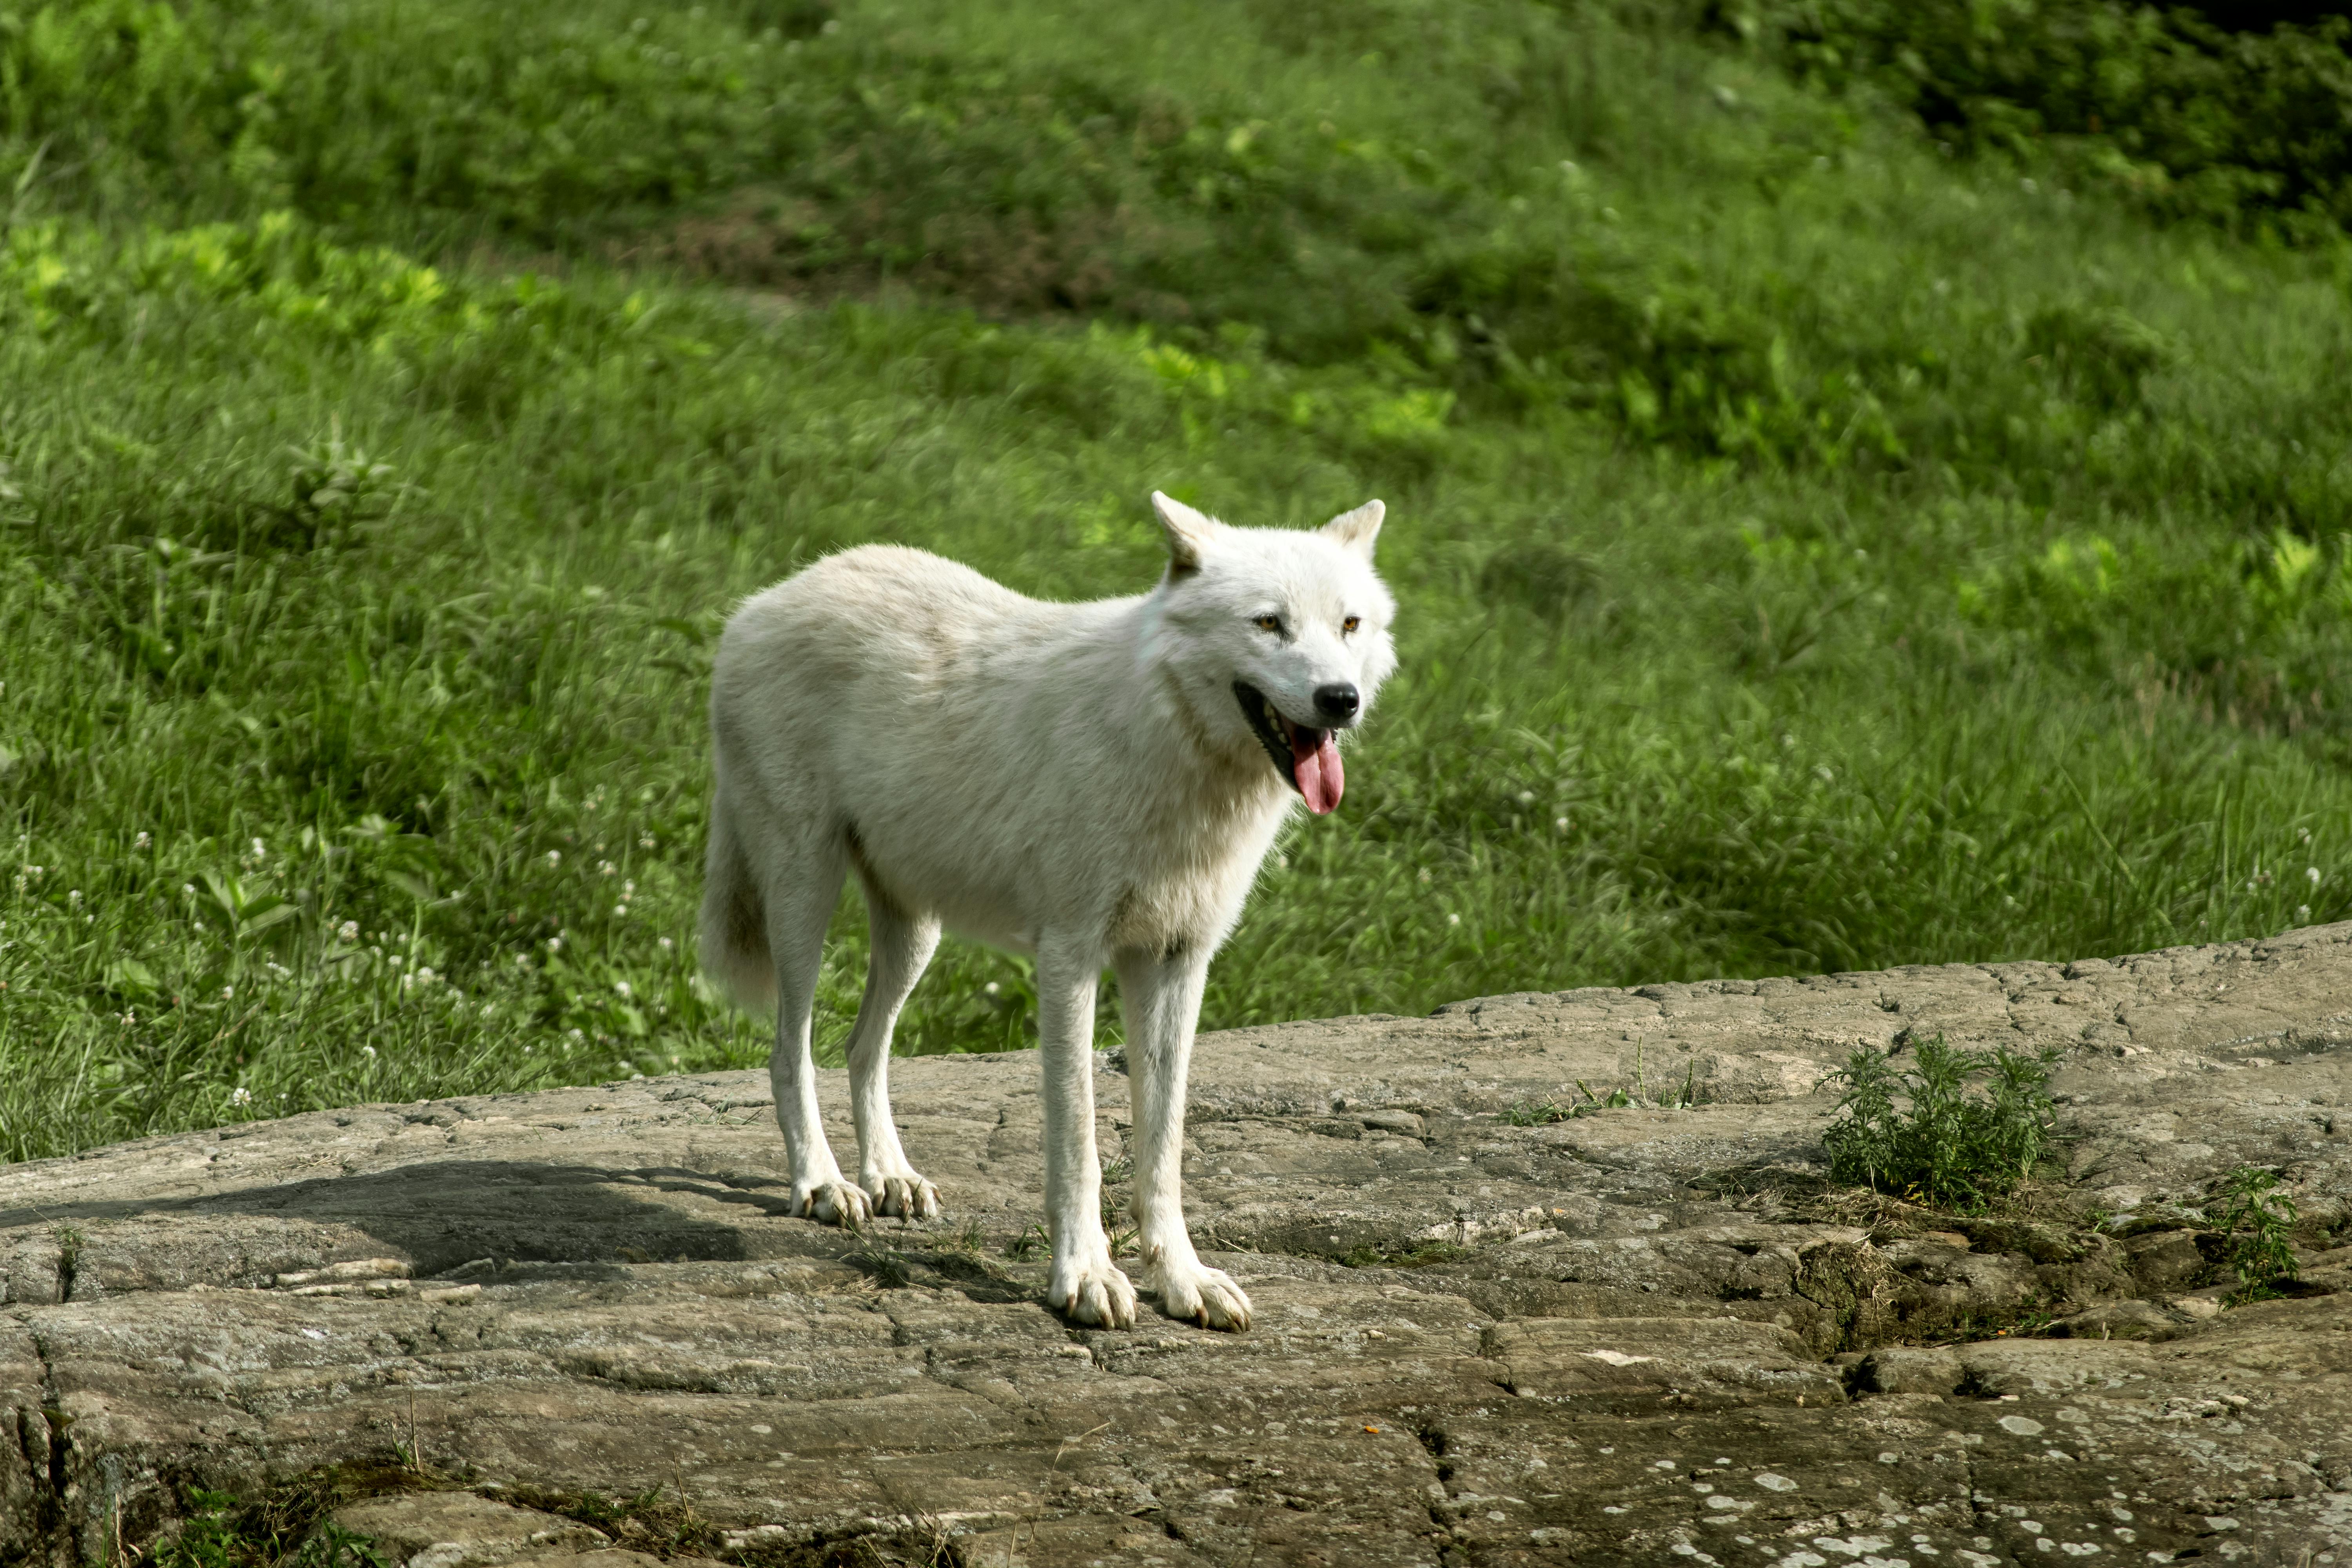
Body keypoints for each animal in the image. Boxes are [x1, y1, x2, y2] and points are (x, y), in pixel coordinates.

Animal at [696, 491, 1392, 1326]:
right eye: (1268, 623)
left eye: (1349, 624)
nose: (1341, 701)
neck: (1169, 750)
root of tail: (767, 598)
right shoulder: (1070, 959)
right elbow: (1079, 1141)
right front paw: (1087, 1278)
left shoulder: (1177, 964)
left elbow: (1164, 1147)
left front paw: (1183, 1279)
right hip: (805, 898)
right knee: (791, 1050)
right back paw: (825, 1183)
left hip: (916, 932)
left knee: (864, 1047)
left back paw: (889, 1177)